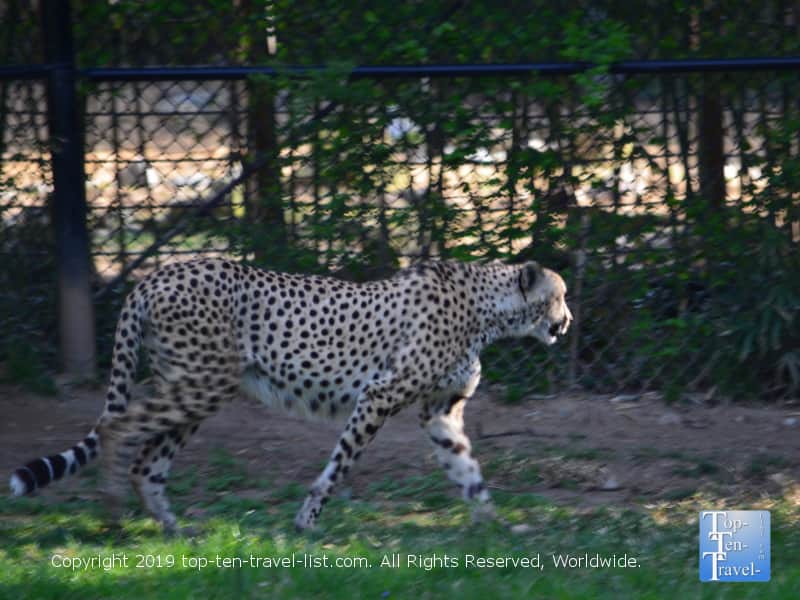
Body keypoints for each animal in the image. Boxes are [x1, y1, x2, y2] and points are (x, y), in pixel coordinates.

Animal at [9, 258, 571, 533]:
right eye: (559, 297)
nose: (566, 324)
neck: (486, 309)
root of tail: (157, 274)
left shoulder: (440, 413)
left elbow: (469, 472)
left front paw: (499, 528)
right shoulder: (379, 395)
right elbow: (339, 466)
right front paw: (306, 524)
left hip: (195, 385)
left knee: (146, 461)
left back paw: (174, 530)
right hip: (201, 382)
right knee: (116, 426)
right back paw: (112, 514)